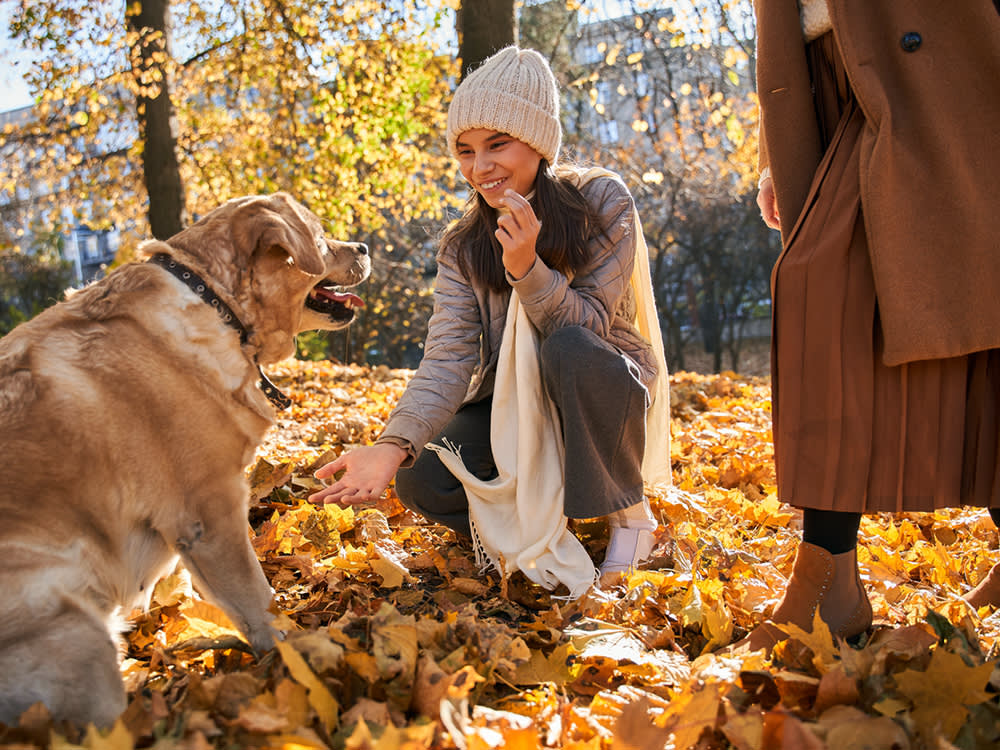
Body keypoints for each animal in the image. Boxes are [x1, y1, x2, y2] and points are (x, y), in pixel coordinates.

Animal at [0, 192, 372, 728]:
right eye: (320, 237)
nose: (364, 246)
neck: (217, 304)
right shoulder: (210, 512)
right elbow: (257, 598)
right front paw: (291, 651)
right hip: (74, 627)